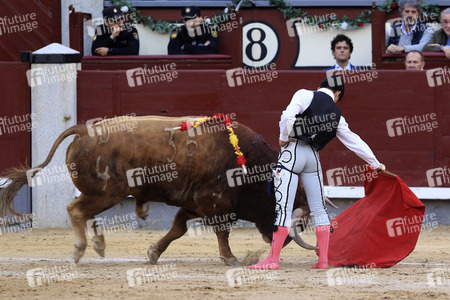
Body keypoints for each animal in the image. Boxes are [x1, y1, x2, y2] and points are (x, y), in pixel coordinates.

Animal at [1, 115, 322, 264]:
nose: (280, 241)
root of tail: (82, 129)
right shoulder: (215, 203)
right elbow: (222, 231)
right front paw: (232, 259)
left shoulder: (192, 204)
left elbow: (177, 229)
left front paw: (154, 252)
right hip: (107, 192)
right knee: (75, 209)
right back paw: (81, 249)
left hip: (102, 194)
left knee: (84, 211)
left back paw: (99, 245)